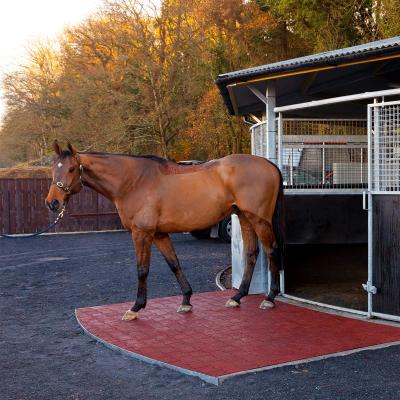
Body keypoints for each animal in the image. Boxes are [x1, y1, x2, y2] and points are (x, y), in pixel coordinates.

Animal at [46, 142, 284, 320]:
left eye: (71, 169)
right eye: (53, 169)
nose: (52, 203)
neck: (133, 181)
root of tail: (268, 164)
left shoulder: (141, 233)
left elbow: (142, 269)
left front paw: (136, 307)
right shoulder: (159, 234)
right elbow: (174, 264)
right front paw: (186, 300)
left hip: (259, 220)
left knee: (272, 250)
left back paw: (269, 298)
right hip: (244, 217)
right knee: (252, 254)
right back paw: (237, 297)